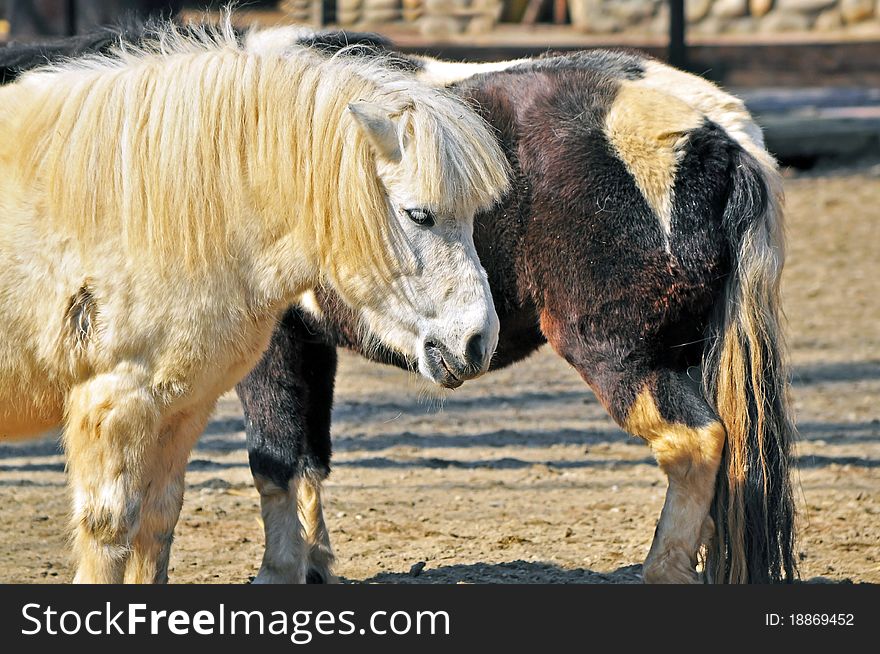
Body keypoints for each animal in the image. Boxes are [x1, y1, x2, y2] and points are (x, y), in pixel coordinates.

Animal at [0, 23, 508, 584]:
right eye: (419, 215)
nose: (479, 341)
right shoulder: (114, 403)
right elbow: (109, 530)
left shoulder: (180, 408)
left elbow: (158, 520)